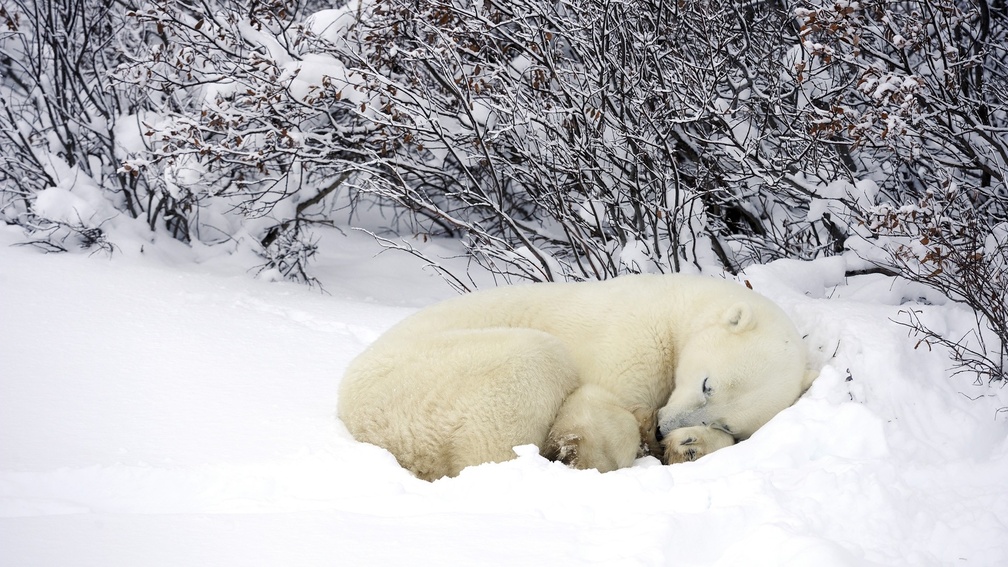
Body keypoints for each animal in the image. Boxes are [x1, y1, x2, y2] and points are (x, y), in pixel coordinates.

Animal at [337, 274, 814, 481]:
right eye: (706, 384)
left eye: (726, 422)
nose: (664, 429)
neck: (677, 307)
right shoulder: (633, 336)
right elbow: (597, 404)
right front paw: (591, 452)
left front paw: (690, 446)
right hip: (422, 382)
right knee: (532, 363)